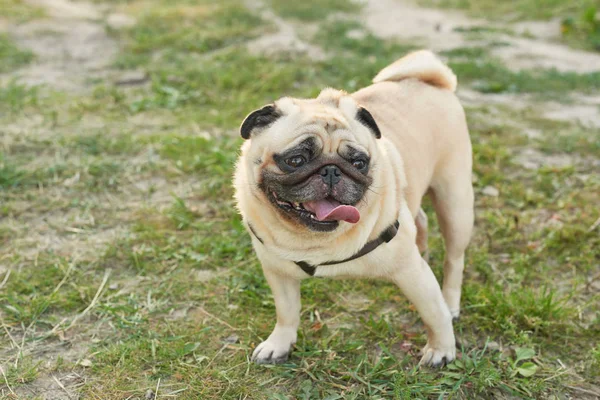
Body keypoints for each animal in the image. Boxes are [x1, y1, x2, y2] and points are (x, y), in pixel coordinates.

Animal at [234, 49, 474, 366]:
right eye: (296, 160)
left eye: (358, 162)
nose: (331, 171)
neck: (315, 241)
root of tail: (433, 82)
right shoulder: (278, 272)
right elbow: (286, 313)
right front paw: (279, 344)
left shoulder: (413, 274)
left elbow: (434, 316)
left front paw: (441, 350)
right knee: (420, 218)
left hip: (454, 202)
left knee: (454, 259)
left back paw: (451, 301)